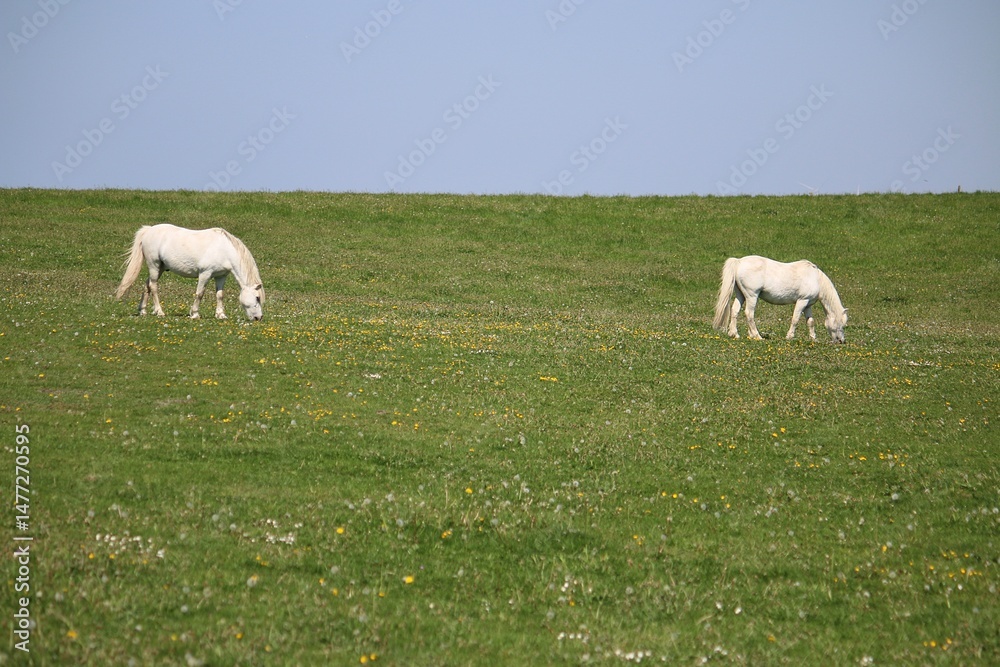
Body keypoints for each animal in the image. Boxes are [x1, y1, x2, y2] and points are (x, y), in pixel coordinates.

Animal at [115, 224, 265, 321]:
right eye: (257, 297)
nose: (259, 317)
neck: (224, 250)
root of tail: (148, 231)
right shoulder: (205, 274)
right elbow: (199, 294)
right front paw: (195, 314)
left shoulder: (221, 276)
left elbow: (220, 295)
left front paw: (221, 315)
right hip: (154, 265)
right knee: (153, 287)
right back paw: (159, 312)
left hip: (160, 268)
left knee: (147, 285)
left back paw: (143, 310)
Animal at [713, 255, 847, 343]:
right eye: (842, 325)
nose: (841, 341)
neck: (816, 279)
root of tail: (739, 261)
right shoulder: (802, 301)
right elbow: (795, 319)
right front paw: (790, 336)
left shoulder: (808, 304)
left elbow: (810, 322)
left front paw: (813, 339)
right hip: (752, 296)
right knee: (749, 314)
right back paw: (757, 336)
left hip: (741, 295)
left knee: (735, 310)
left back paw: (734, 334)